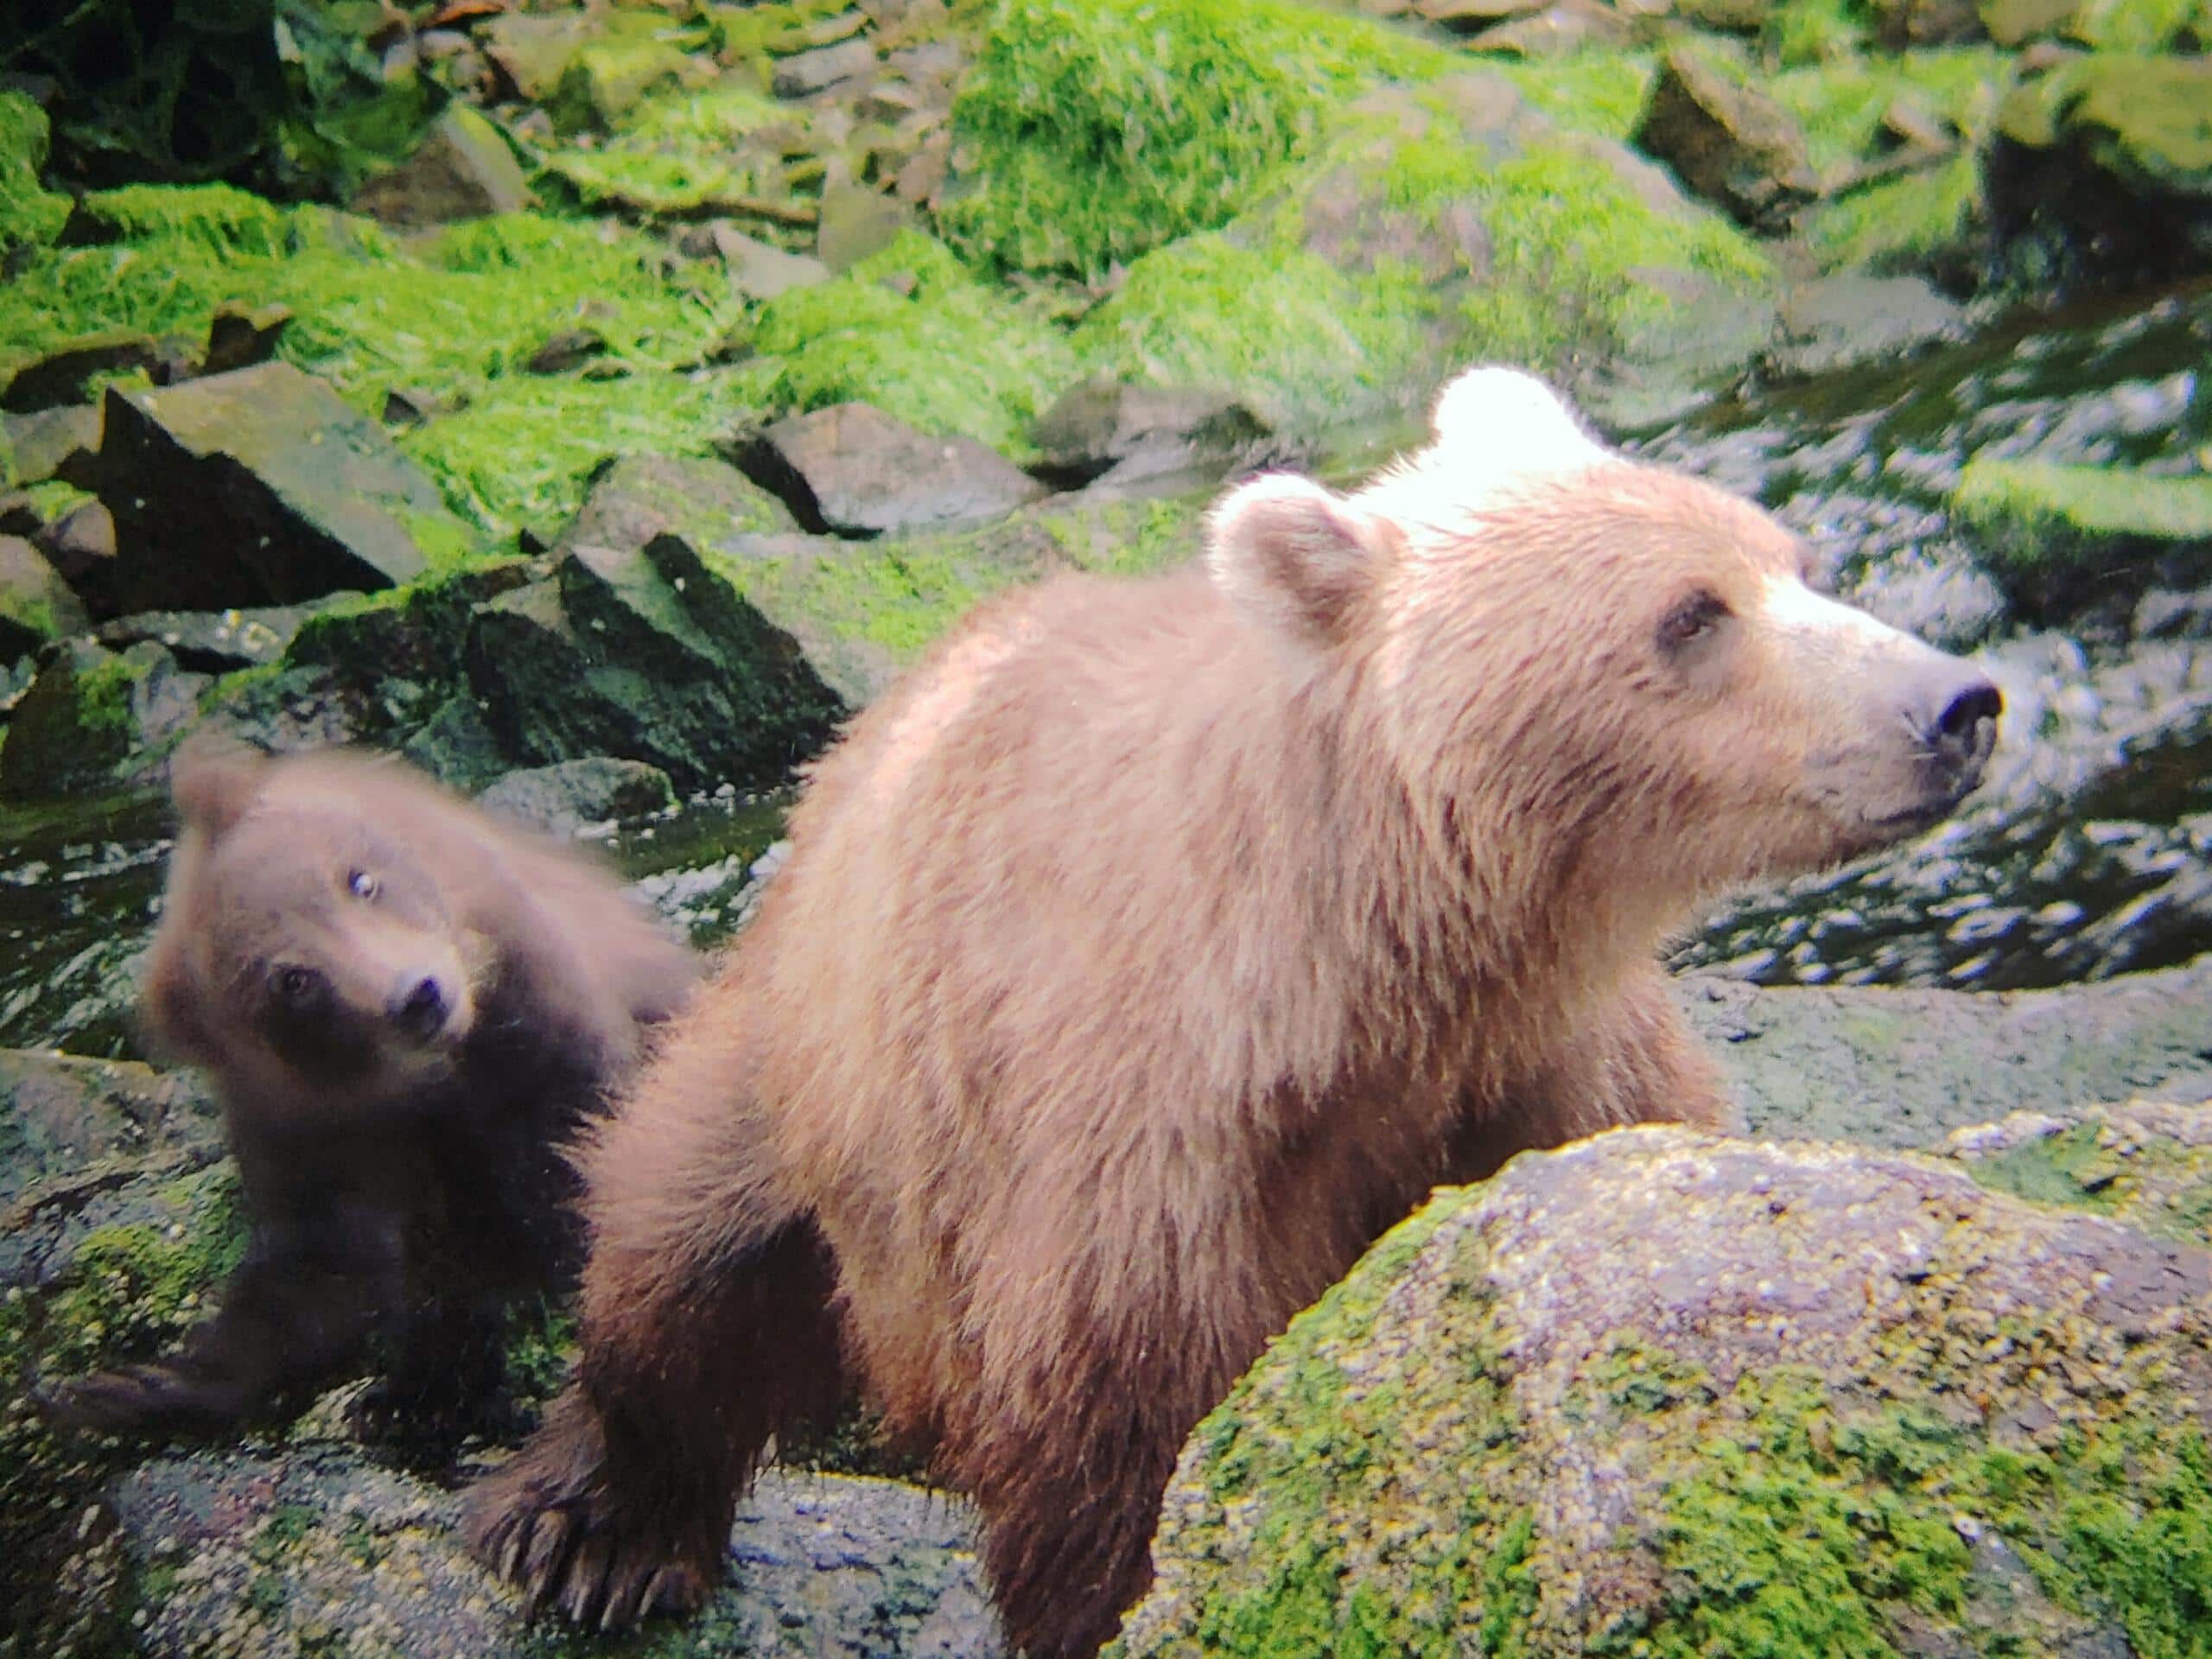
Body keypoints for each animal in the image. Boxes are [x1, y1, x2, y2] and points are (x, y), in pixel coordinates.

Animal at [43, 737, 699, 1446]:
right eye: (293, 980)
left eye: (359, 879)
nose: (418, 996)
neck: (421, 1083)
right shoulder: (307, 1132)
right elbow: (320, 1274)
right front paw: (126, 1385)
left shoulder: (529, 1011)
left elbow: (572, 1139)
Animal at [464, 367, 2002, 1655]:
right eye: (1691, 612)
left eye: (1795, 562)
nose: (1958, 703)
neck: (1370, 973)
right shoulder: (1135, 1155)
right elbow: (1121, 1453)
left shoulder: (1551, 1062)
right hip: (827, 1058)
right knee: (680, 1239)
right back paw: (590, 1529)